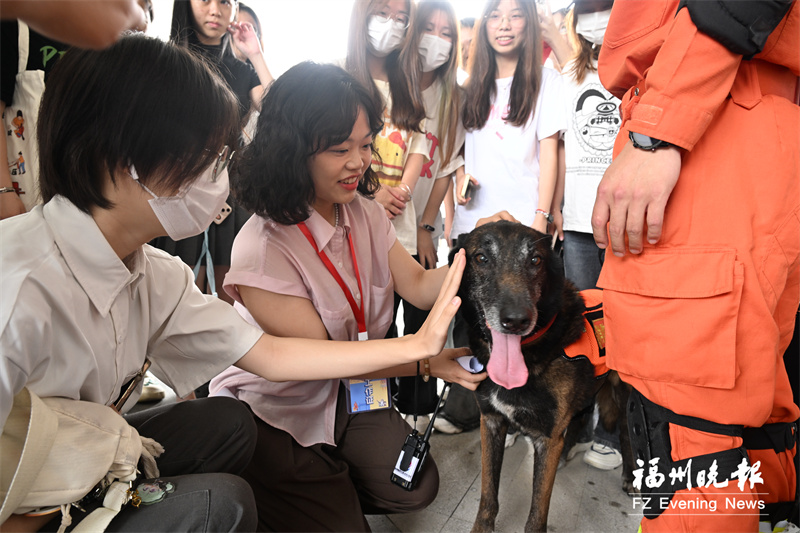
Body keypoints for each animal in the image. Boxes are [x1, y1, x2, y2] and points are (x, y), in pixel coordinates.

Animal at [450, 221, 632, 532]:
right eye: (481, 258)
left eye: (535, 260)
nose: (516, 321)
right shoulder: (491, 422)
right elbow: (488, 492)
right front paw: (482, 527)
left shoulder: (547, 439)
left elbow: (537, 513)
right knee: (581, 416)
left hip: (627, 396)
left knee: (629, 433)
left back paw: (631, 478)